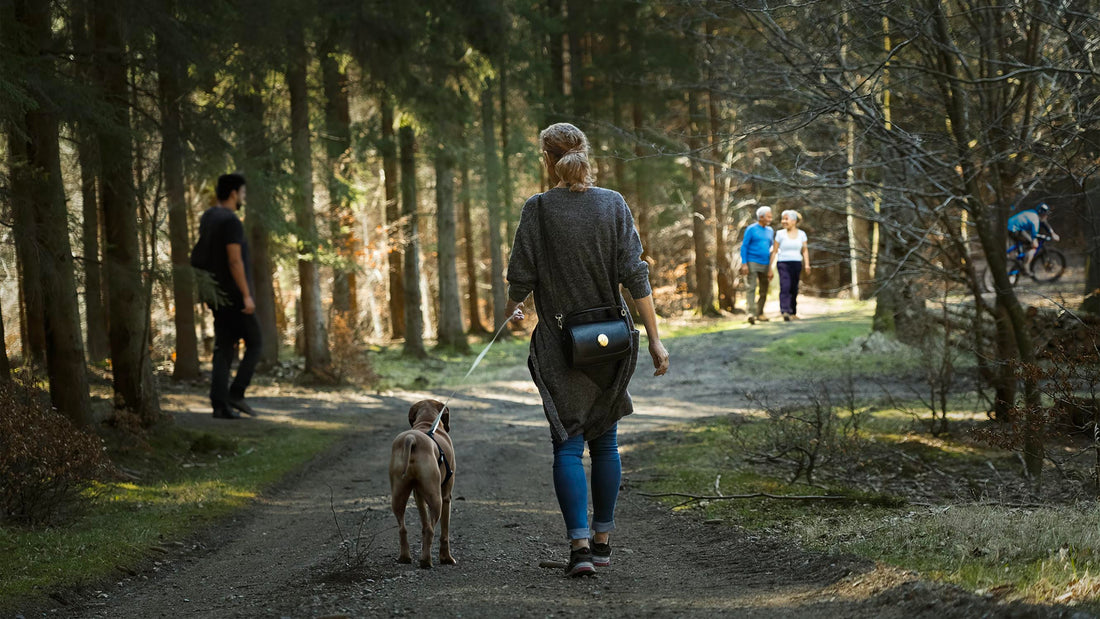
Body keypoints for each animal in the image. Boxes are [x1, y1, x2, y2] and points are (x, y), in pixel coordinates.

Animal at [389, 400, 457, 567]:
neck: (427, 423)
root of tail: (411, 439)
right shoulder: (446, 497)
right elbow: (444, 532)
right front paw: (446, 558)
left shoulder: (418, 495)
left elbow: (424, 522)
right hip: (436, 499)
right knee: (432, 529)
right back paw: (426, 561)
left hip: (398, 495)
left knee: (403, 528)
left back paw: (405, 557)